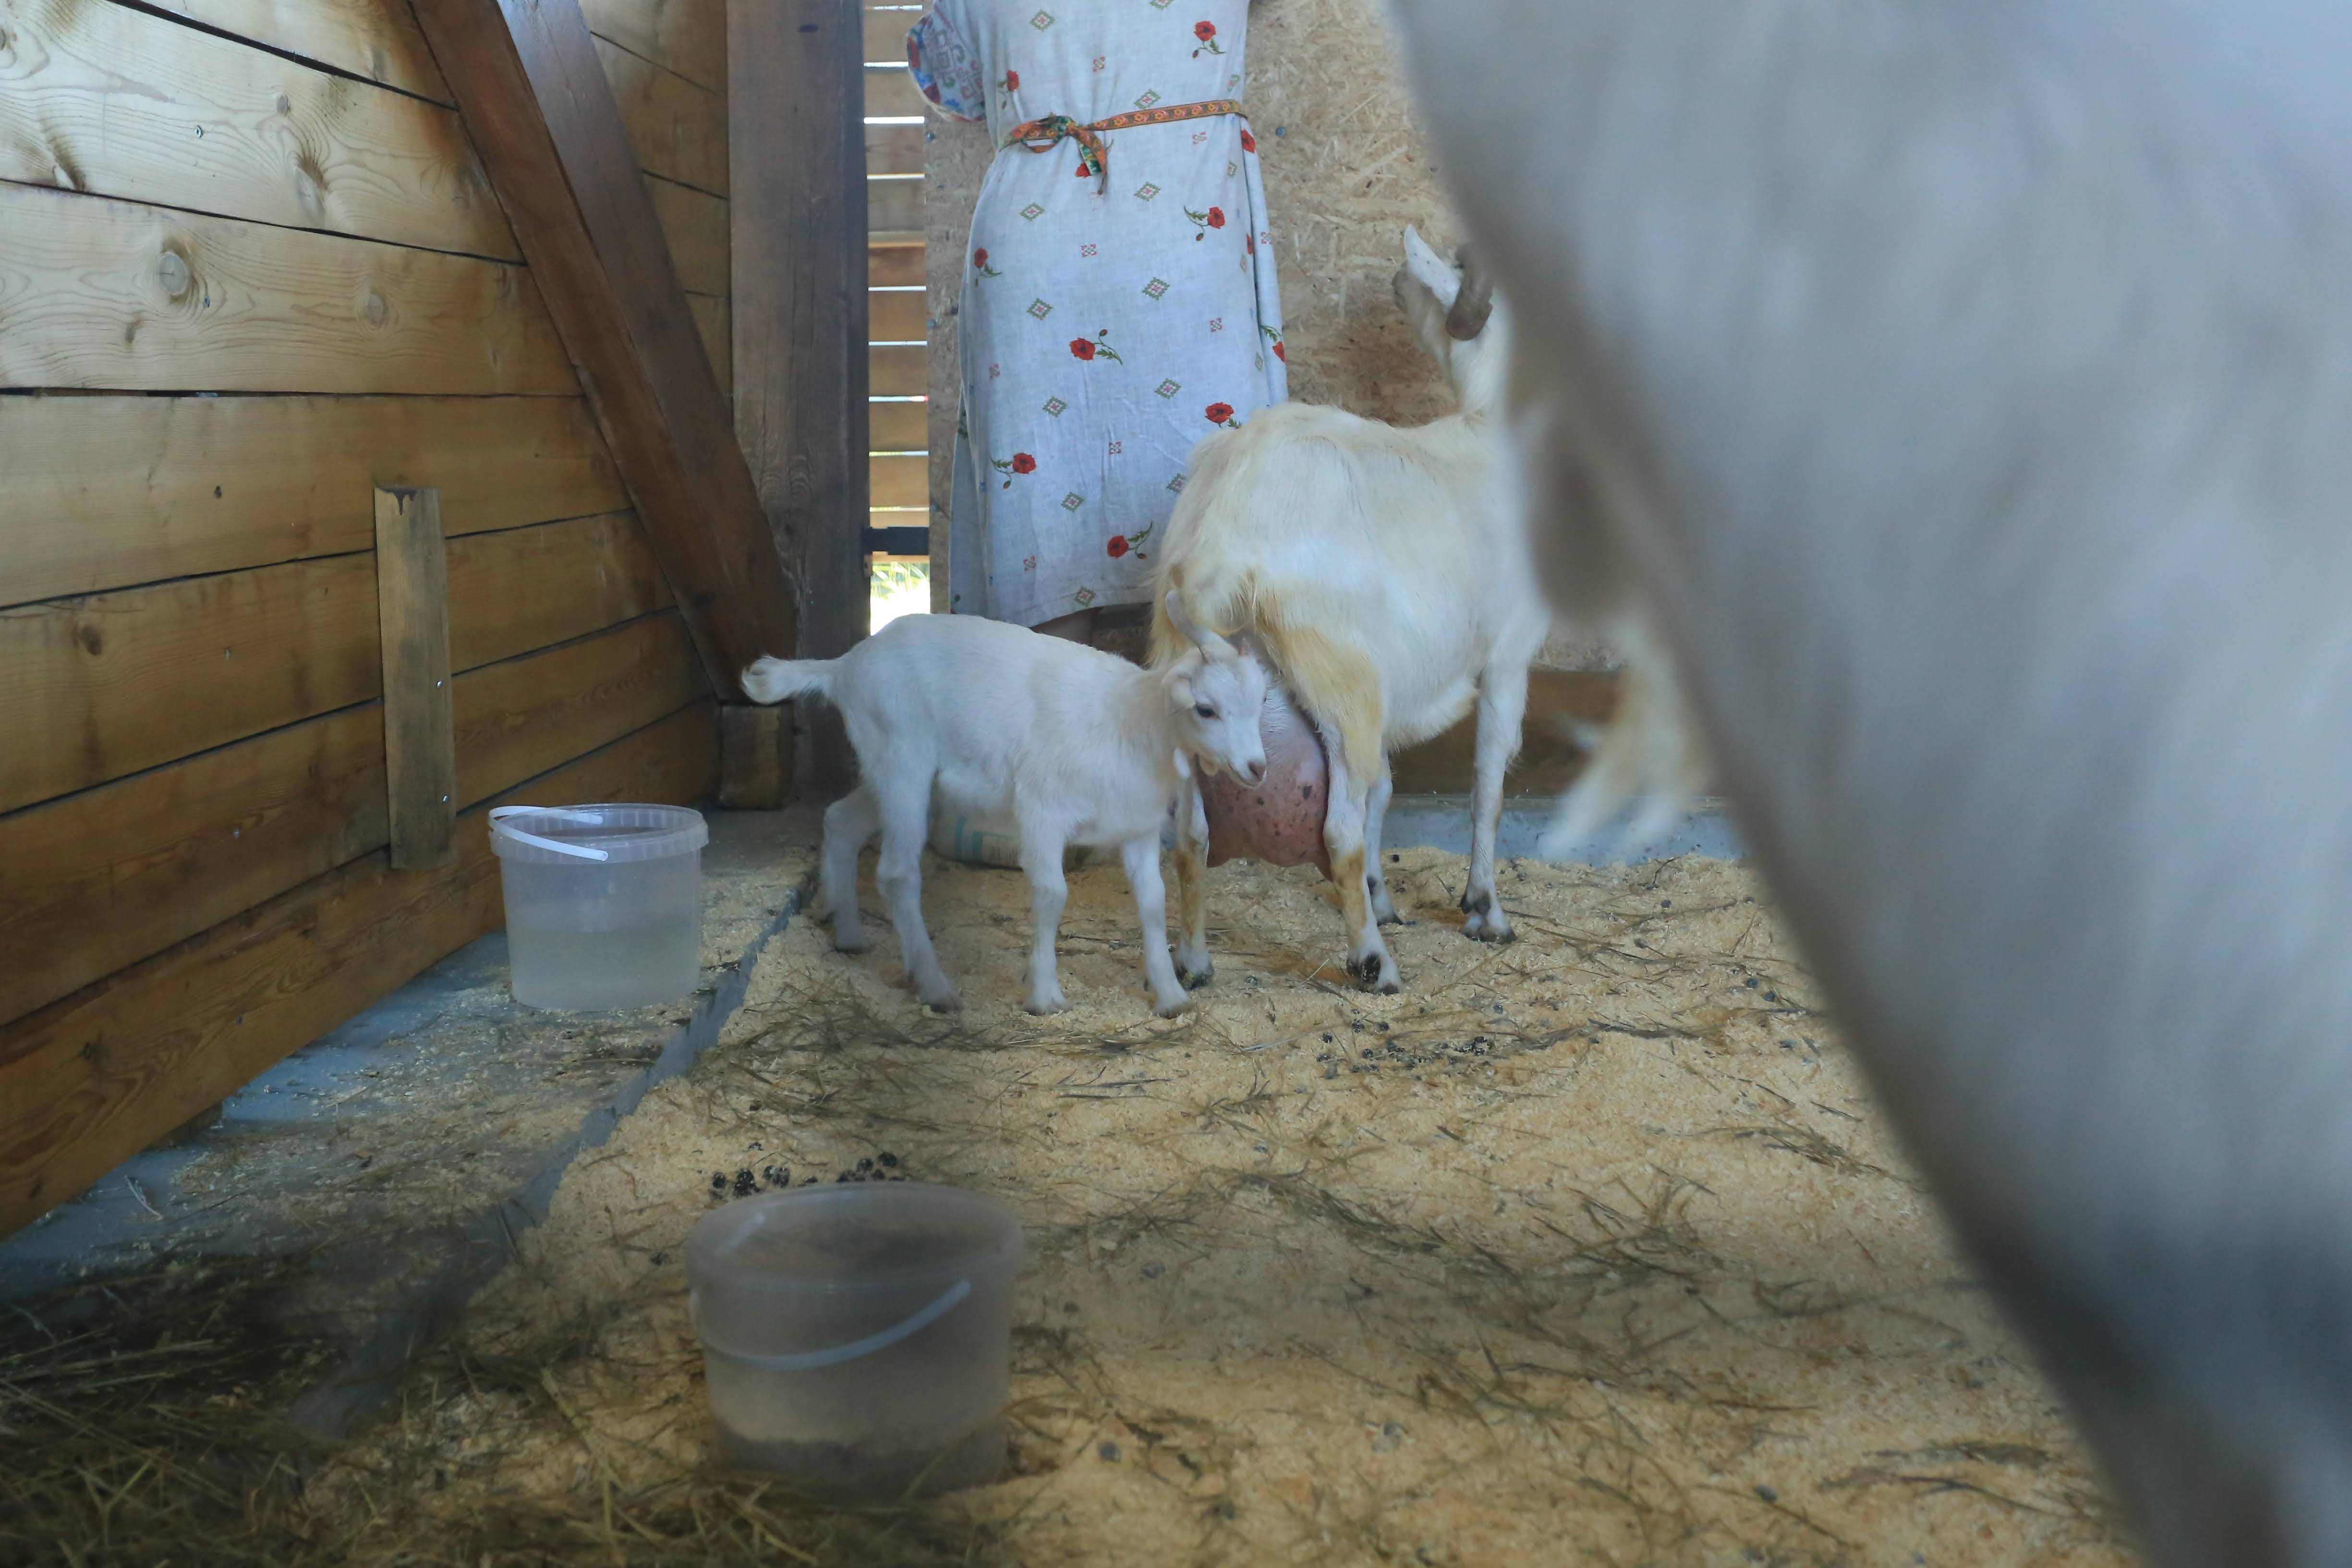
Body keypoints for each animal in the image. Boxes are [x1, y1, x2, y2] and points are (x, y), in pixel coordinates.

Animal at [740, 594, 1268, 1018]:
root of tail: (842, 666)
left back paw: (850, 933)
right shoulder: (1042, 811)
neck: (1130, 721)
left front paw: (1170, 995)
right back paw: (935, 986)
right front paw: (1044, 995)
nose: (1257, 767)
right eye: (1205, 709)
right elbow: (1052, 895)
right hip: (902, 760)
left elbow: (1153, 903)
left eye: (1260, 699)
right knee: (896, 874)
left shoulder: (1135, 827)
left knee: (842, 822)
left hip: (891, 774)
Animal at [1147, 230, 1552, 993]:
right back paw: (1373, 963)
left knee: (1189, 836)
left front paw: (1385, 899)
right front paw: (1484, 910)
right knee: (1335, 831)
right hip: (1340, 684)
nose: (1394, 282)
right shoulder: (1505, 656)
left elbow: (1386, 792)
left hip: (1195, 686)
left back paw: (1195, 963)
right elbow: (1486, 781)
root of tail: (1224, 543)